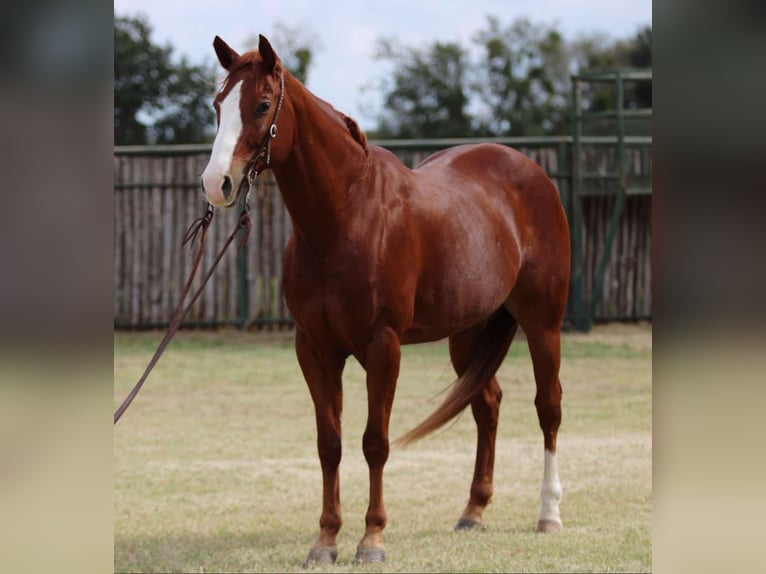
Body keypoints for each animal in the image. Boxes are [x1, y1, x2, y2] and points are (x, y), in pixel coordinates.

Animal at [200, 35, 570, 565]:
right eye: (217, 105)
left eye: (262, 105)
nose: (217, 184)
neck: (345, 217)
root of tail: (534, 174)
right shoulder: (314, 349)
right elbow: (329, 444)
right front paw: (325, 541)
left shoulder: (383, 347)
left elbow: (375, 441)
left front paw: (371, 539)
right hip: (469, 332)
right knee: (488, 405)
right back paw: (473, 512)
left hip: (543, 322)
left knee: (548, 406)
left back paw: (549, 514)